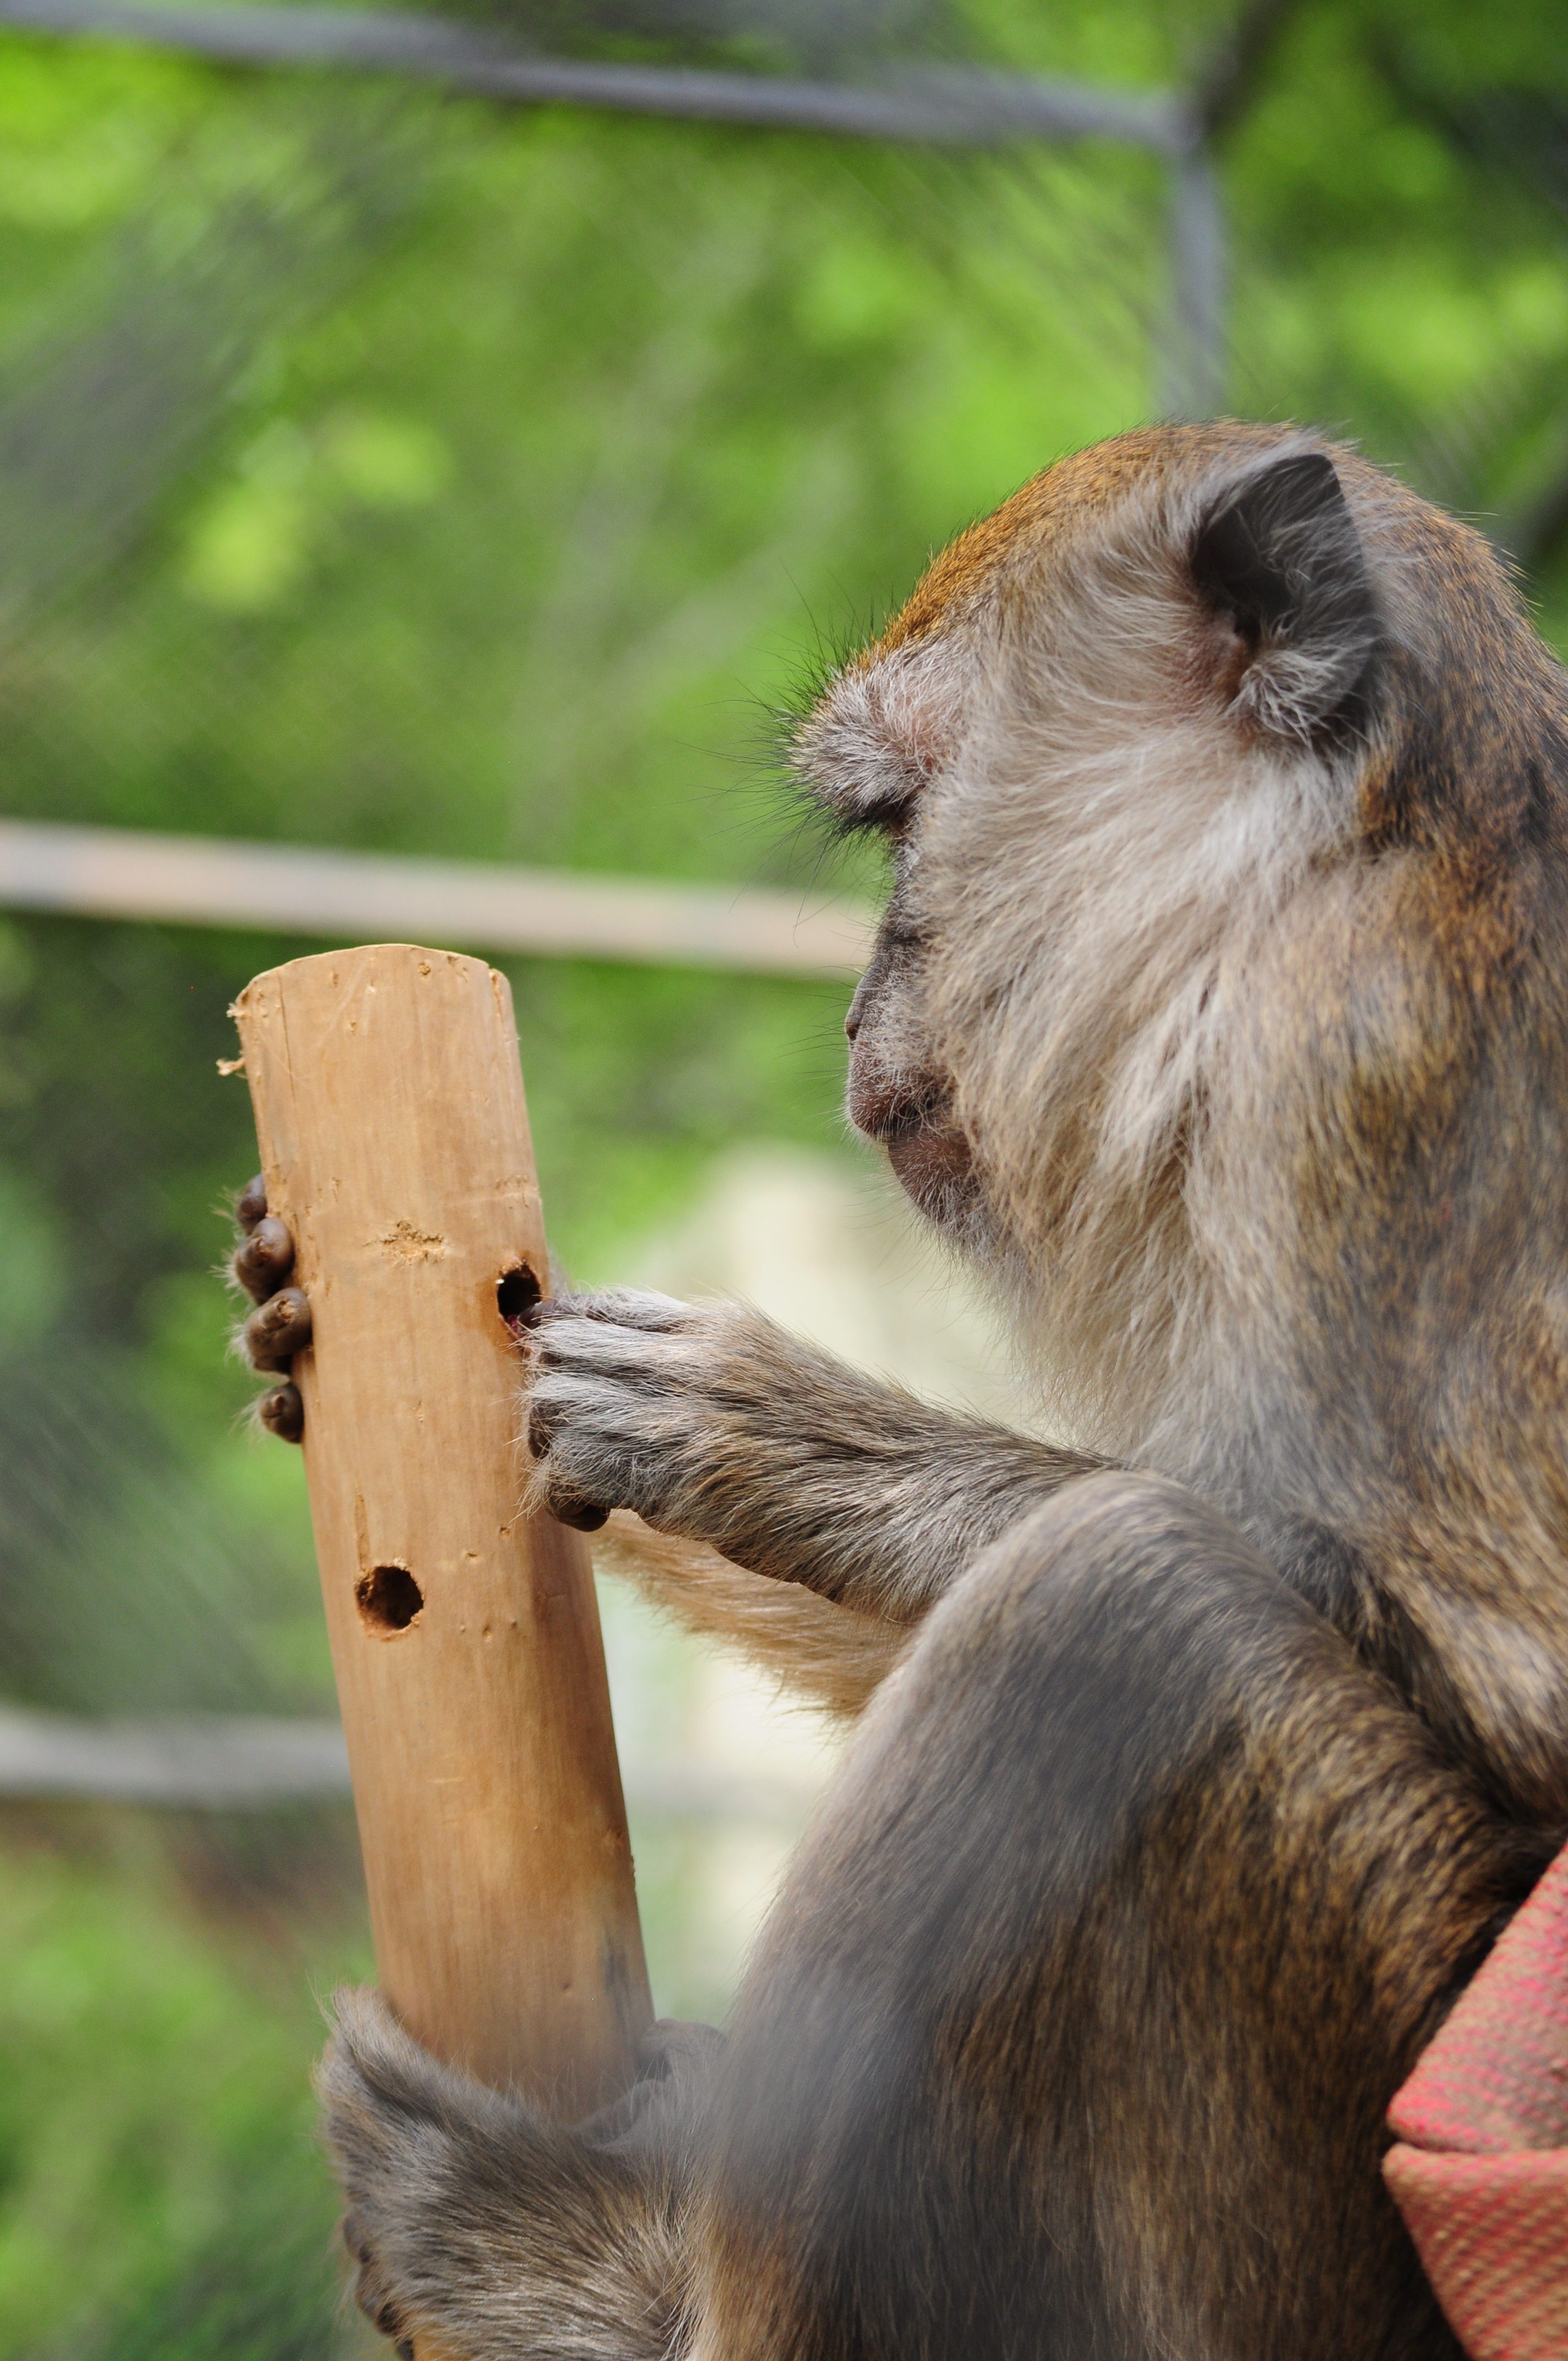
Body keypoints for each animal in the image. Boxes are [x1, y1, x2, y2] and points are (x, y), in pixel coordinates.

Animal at [232, 420, 1568, 2359]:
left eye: (897, 823)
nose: (858, 999)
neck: (1340, 872)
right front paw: (291, 1307)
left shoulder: (1358, 1070)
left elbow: (1516, 1703)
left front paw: (782, 1434)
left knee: (1113, 1614)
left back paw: (577, 2280)